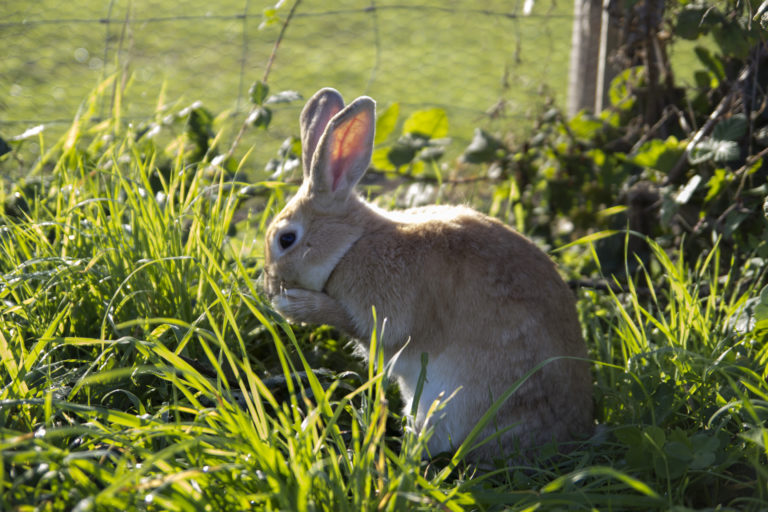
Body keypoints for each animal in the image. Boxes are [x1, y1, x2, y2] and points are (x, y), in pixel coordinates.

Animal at [264, 88, 592, 464]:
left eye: (286, 239)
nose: (270, 286)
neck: (353, 244)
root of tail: (573, 432)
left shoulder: (384, 312)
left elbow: (359, 324)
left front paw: (294, 305)